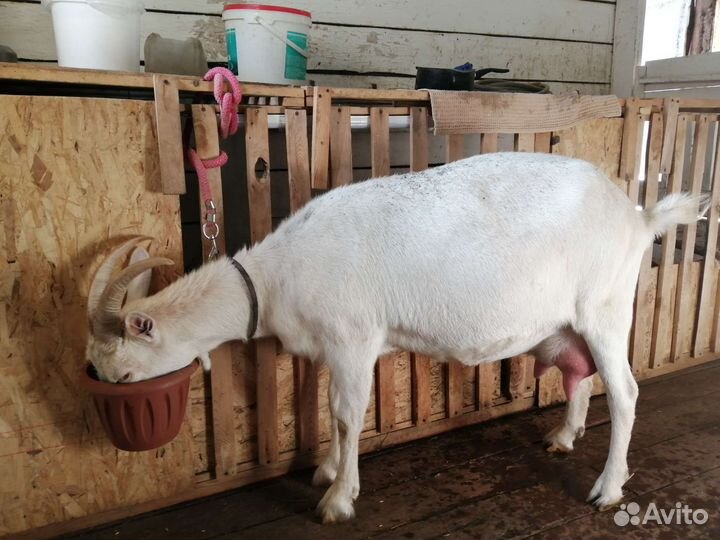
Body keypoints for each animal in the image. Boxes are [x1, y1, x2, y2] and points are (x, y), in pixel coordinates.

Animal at [86, 152, 706, 523]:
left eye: (116, 358)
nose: (95, 380)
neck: (277, 275)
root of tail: (639, 217)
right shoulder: (335, 347)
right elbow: (328, 408)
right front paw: (330, 469)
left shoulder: (352, 338)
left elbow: (345, 415)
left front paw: (337, 498)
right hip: (572, 321)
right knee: (582, 374)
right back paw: (563, 436)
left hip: (604, 307)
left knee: (625, 393)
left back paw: (608, 488)